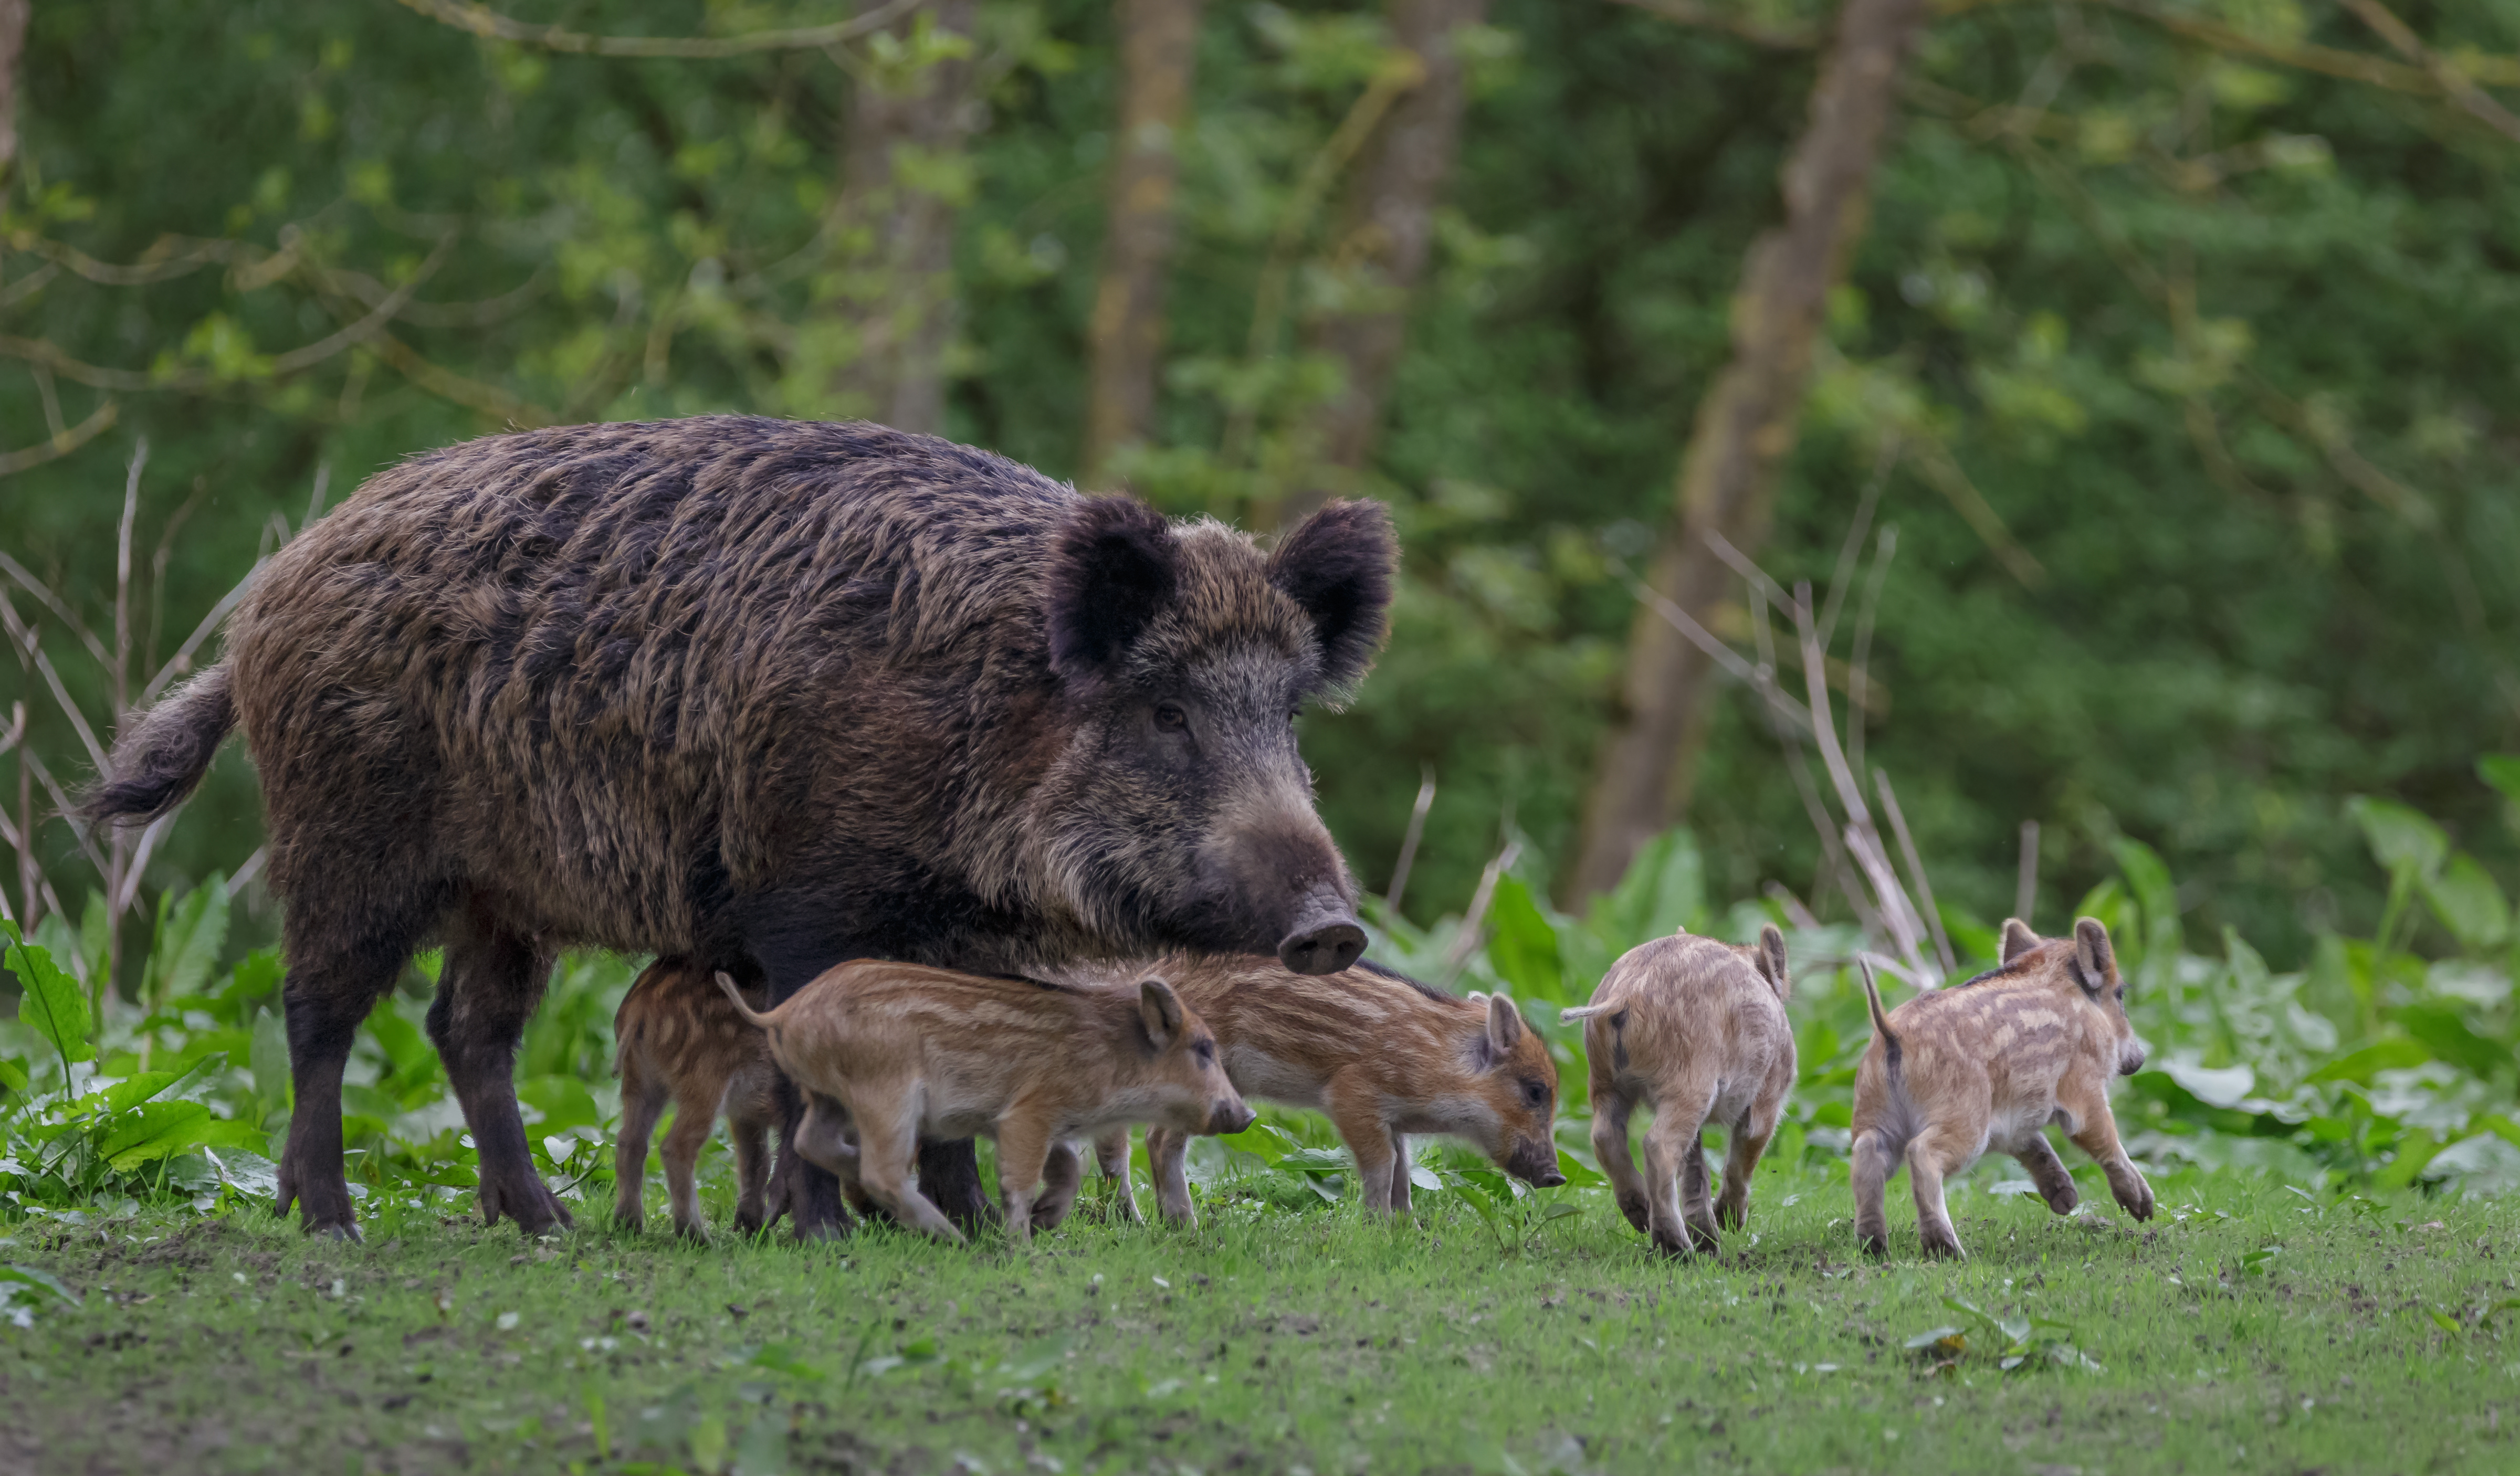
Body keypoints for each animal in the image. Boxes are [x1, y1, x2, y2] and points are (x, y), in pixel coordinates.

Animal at [611, 959, 785, 1241]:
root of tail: (639, 1008)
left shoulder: (746, 1112)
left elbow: (758, 1159)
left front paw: (752, 1229)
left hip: (640, 1078)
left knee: (630, 1139)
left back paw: (628, 1225)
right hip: (705, 1080)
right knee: (676, 1147)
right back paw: (698, 1237)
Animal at [714, 960, 1253, 1244]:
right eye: (1203, 1050)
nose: (1247, 1114)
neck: (1111, 1055)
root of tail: (781, 1013)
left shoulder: (1046, 1123)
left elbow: (1067, 1168)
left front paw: (1044, 1221)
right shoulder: (1028, 1112)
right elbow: (1019, 1180)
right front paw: (1021, 1244)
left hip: (829, 1096)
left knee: (812, 1142)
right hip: (887, 1094)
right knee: (879, 1171)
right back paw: (950, 1236)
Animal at [1092, 956, 1562, 1226]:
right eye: (1536, 1091)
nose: (1556, 1177)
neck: (1437, 1061)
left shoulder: (1392, 1120)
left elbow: (1404, 1171)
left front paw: (1408, 1230)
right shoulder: (1350, 1096)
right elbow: (1382, 1167)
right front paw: (1377, 1229)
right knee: (1158, 1140)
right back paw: (1185, 1227)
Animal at [1561, 926, 1794, 1257]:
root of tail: (1624, 996)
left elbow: (1695, 1168)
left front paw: (1712, 1243)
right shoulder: (1769, 1097)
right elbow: (1748, 1147)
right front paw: (1729, 1225)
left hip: (1606, 1082)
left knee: (1604, 1136)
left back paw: (1644, 1218)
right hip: (1690, 1085)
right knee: (1657, 1146)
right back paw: (1677, 1247)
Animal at [1850, 917, 2155, 1259]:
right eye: (2120, 994)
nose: (2140, 1060)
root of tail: (1892, 1031)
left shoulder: (2012, 1119)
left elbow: (2032, 1143)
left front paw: (2068, 1202)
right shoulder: (2084, 1092)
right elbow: (2104, 1140)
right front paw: (2145, 1209)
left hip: (1873, 1112)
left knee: (1867, 1152)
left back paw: (1874, 1247)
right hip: (1964, 1119)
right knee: (1920, 1153)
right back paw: (1949, 1251)